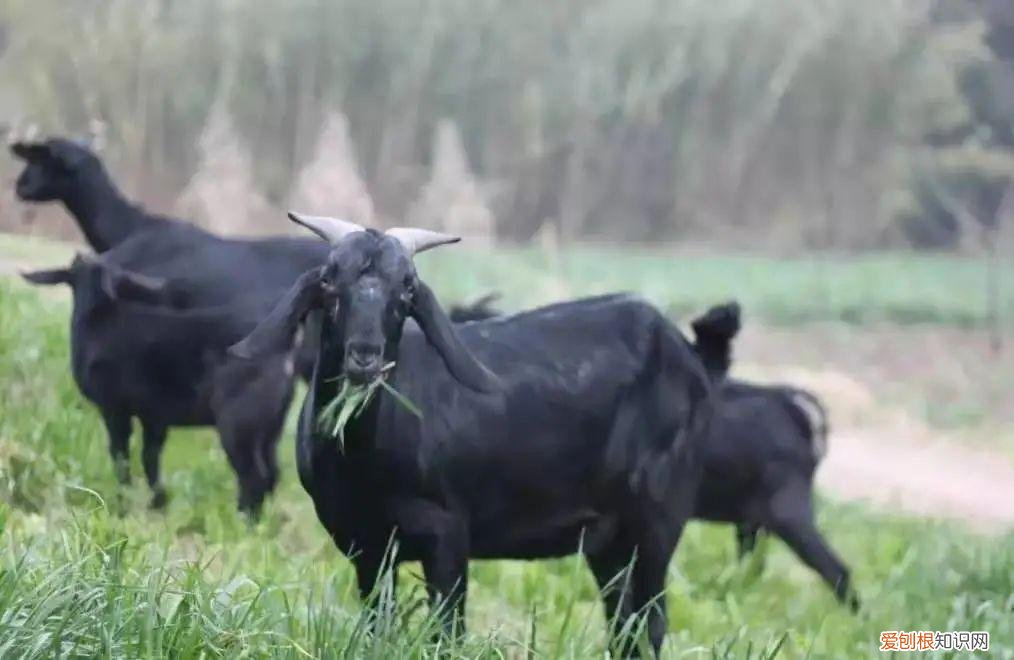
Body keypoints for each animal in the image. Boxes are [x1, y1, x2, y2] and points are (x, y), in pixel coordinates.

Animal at [21, 254, 296, 517]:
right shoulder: (154, 415)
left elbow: (121, 456)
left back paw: (243, 520)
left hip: (238, 422)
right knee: (272, 472)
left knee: (254, 475)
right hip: (270, 427)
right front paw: (159, 503)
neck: (98, 316)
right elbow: (150, 456)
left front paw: (123, 504)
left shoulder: (114, 408)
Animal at [233, 212, 713, 656]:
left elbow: (447, 633)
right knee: (624, 625)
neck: (365, 462)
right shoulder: (363, 544)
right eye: (330, 281)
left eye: (406, 289)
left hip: (656, 520)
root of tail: (679, 346)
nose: (365, 356)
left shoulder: (446, 535)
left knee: (650, 622)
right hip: (608, 541)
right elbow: (377, 630)